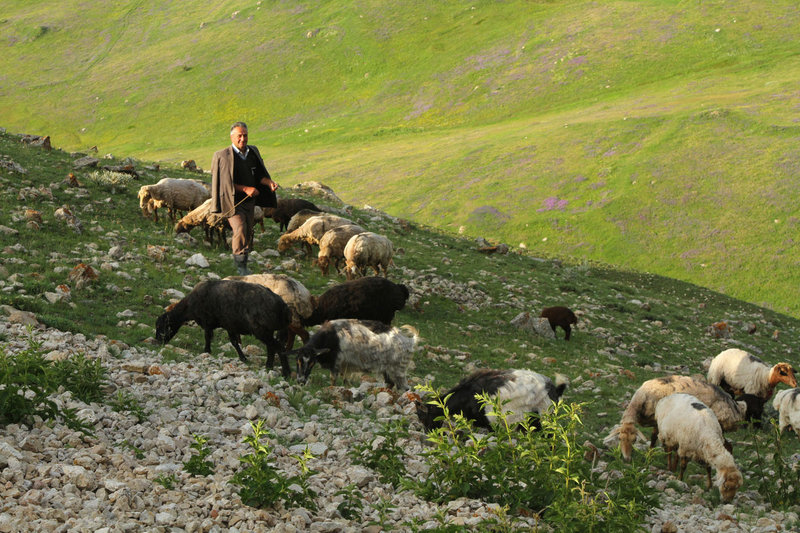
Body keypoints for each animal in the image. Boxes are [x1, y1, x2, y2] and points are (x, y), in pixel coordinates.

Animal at [155, 280, 292, 376]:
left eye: (161, 326)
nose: (157, 342)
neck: (189, 307)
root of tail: (283, 307)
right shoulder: (229, 325)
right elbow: (234, 342)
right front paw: (243, 358)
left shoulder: (207, 322)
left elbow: (208, 337)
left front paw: (207, 351)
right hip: (267, 330)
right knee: (272, 347)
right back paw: (269, 366)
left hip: (261, 330)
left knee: (278, 347)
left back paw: (286, 372)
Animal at [608, 374, 752, 462]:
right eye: (620, 439)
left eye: (634, 440)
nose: (627, 459)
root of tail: (736, 407)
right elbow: (656, 438)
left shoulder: (658, 419)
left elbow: (654, 437)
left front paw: (651, 454)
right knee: (728, 446)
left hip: (717, 424)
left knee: (728, 446)